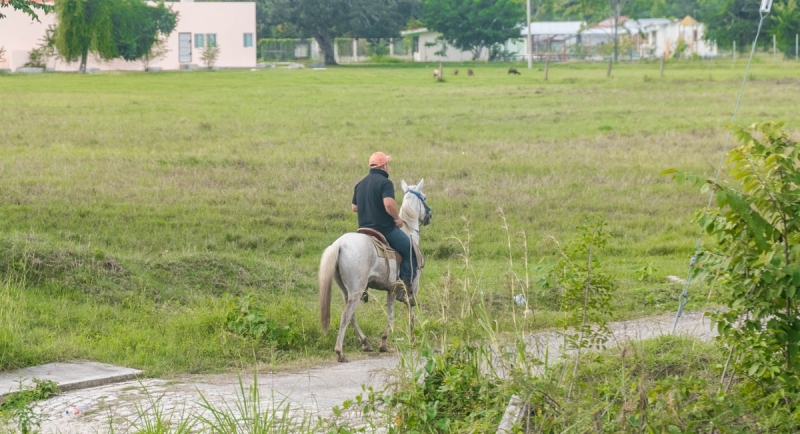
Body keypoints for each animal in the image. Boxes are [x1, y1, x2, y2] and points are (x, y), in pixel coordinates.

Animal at [318, 179, 432, 362]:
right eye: (424, 197)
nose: (429, 215)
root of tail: (339, 245)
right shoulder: (410, 287)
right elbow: (407, 313)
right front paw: (409, 339)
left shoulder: (391, 289)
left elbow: (392, 313)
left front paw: (384, 343)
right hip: (357, 289)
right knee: (346, 316)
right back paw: (340, 351)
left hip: (346, 290)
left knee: (351, 316)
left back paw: (366, 343)